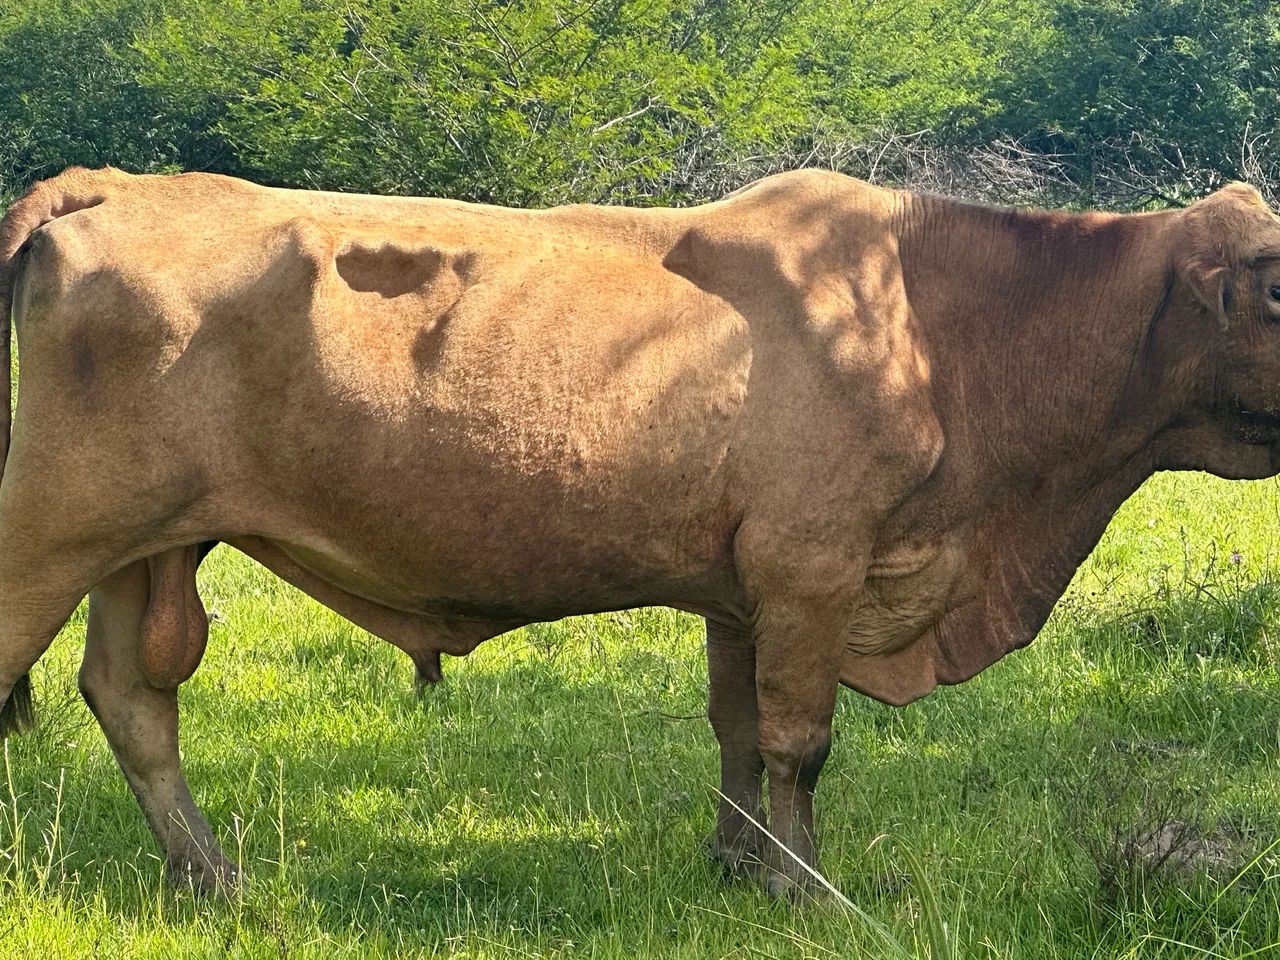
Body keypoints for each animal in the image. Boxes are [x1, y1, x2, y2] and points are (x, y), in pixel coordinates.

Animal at [1, 167, 1279, 900]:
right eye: (1271, 285)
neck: (941, 320)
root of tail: (112, 182)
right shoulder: (812, 565)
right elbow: (798, 738)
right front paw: (803, 890)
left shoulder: (744, 584)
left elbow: (736, 727)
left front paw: (736, 863)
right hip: (53, 527)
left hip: (147, 546)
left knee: (132, 697)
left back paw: (210, 875)